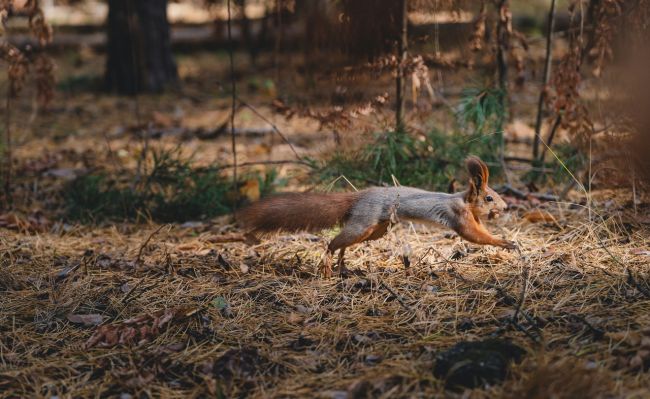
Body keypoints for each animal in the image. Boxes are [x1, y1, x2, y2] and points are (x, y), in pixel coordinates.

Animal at [235, 157, 512, 278]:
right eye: (489, 198)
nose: (506, 207)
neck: (464, 202)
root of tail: (359, 196)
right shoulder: (459, 217)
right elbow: (474, 236)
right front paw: (505, 242)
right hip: (365, 222)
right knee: (333, 242)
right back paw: (328, 264)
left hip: (375, 229)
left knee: (344, 242)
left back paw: (342, 265)